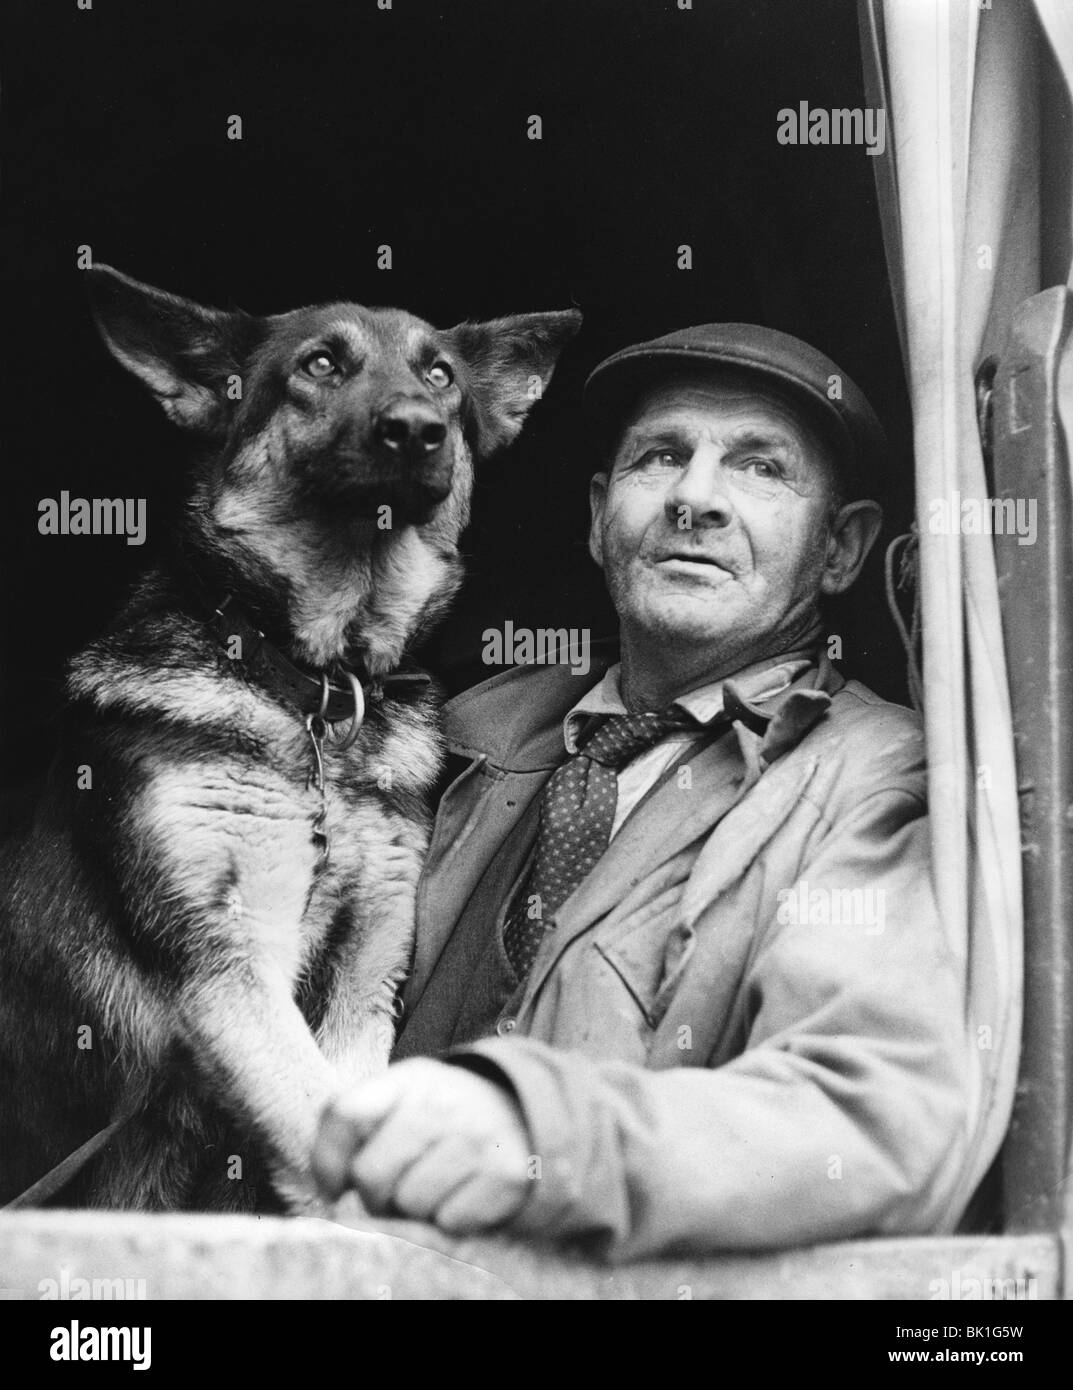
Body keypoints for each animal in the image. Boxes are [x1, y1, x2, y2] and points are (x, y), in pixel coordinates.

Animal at [0, 265, 578, 1212]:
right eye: (319, 364)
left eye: (441, 376)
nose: (415, 430)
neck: (319, 693)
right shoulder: (227, 970)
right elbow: (318, 1131)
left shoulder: (363, 973)